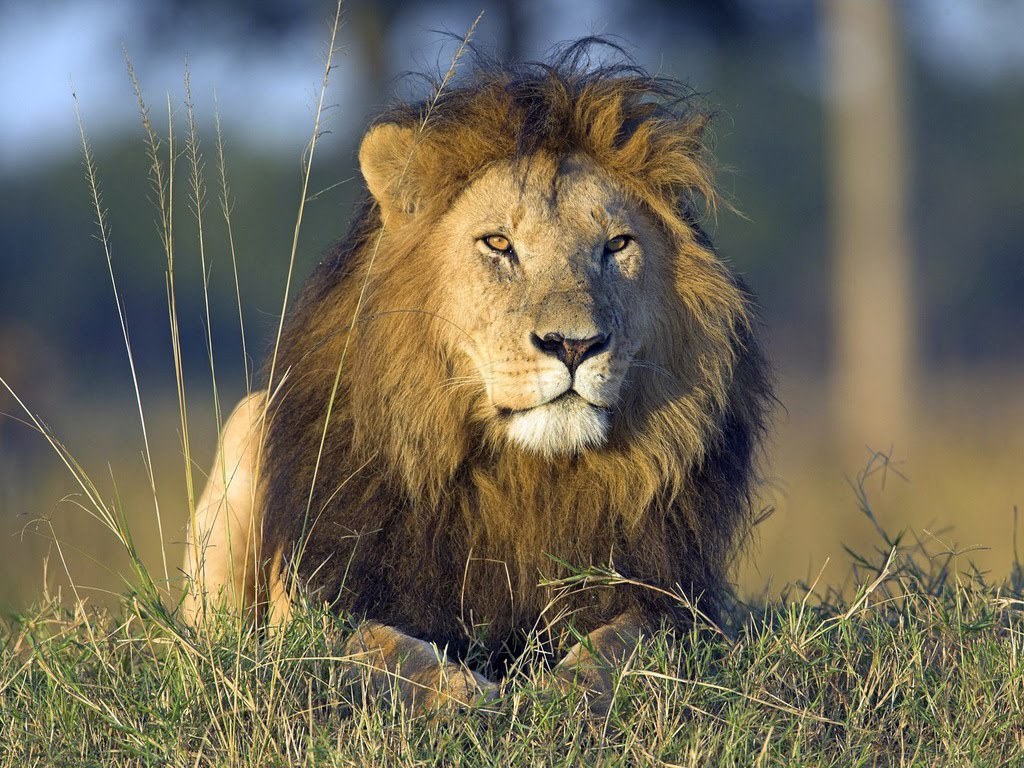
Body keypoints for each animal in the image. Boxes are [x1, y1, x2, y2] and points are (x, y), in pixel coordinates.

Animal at [182, 40, 772, 715]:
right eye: (498, 244)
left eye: (617, 245)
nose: (574, 344)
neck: (526, 477)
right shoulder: (326, 598)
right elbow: (382, 646)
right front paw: (462, 696)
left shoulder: (670, 598)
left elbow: (623, 642)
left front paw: (563, 693)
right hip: (245, 430)